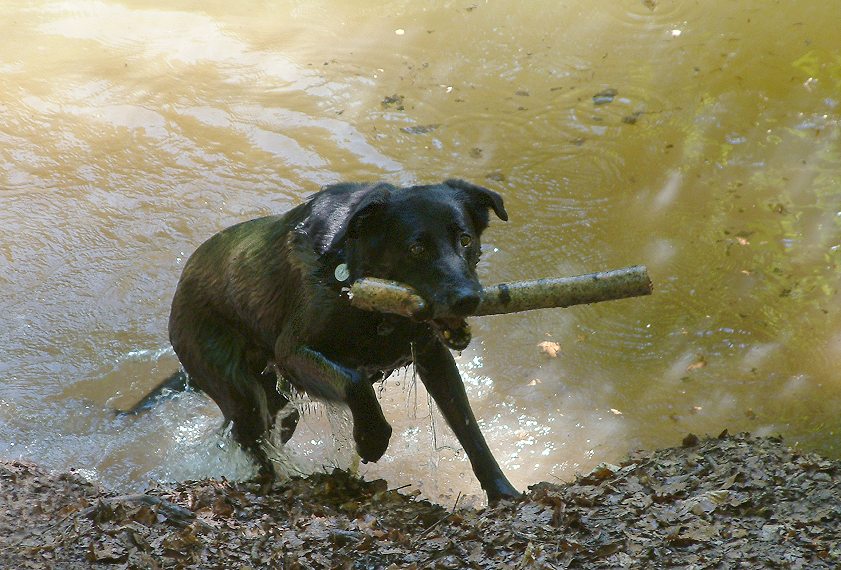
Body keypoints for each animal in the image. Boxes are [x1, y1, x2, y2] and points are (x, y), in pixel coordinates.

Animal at [136, 176, 520, 496]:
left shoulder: (433, 358)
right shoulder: (292, 352)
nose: (468, 298)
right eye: (417, 248)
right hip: (241, 392)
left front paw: (502, 493)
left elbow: (470, 430)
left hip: (278, 403)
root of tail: (184, 279)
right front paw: (371, 439)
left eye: (465, 240)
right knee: (247, 437)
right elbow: (356, 383)